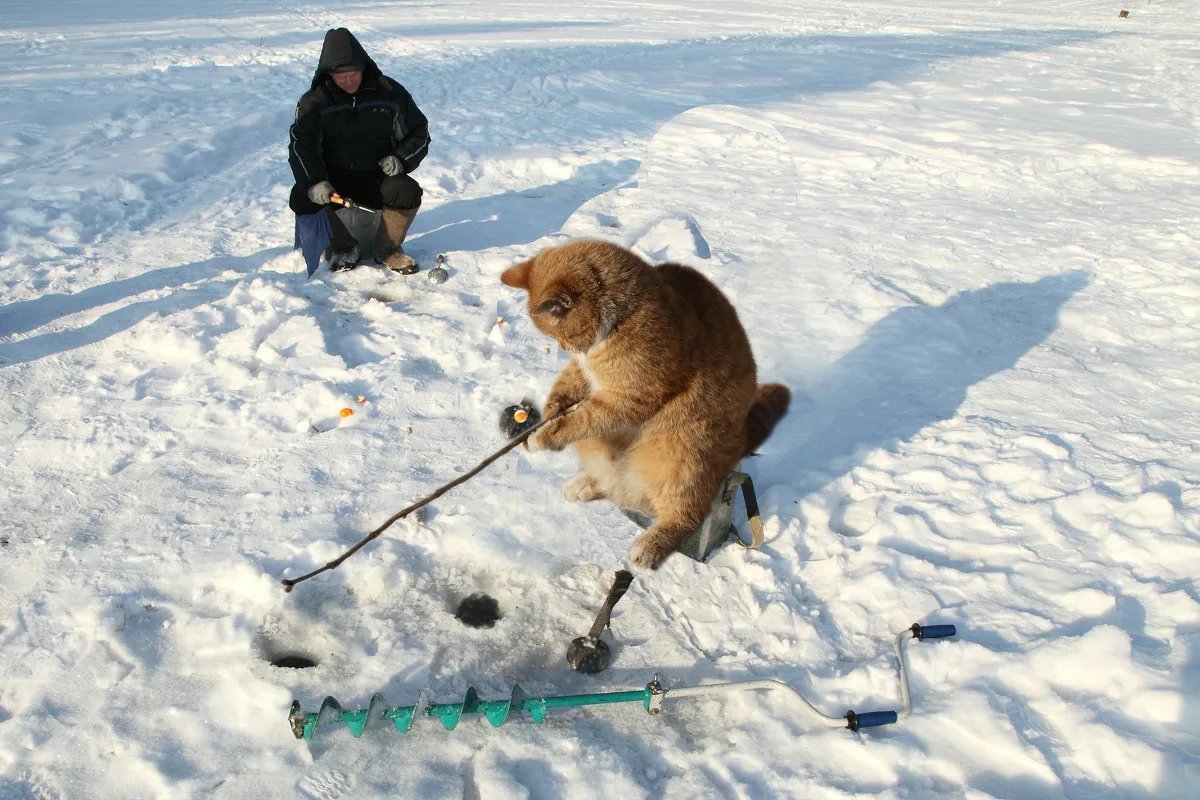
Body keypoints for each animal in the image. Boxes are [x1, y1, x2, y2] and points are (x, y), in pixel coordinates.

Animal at [501, 239, 792, 568]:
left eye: (562, 334)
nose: (566, 348)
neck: (621, 319)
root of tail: (742, 439)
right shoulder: (583, 374)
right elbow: (567, 386)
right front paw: (551, 410)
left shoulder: (629, 399)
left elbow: (581, 421)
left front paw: (546, 435)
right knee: (614, 479)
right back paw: (586, 484)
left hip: (683, 458)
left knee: (685, 515)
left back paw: (650, 545)